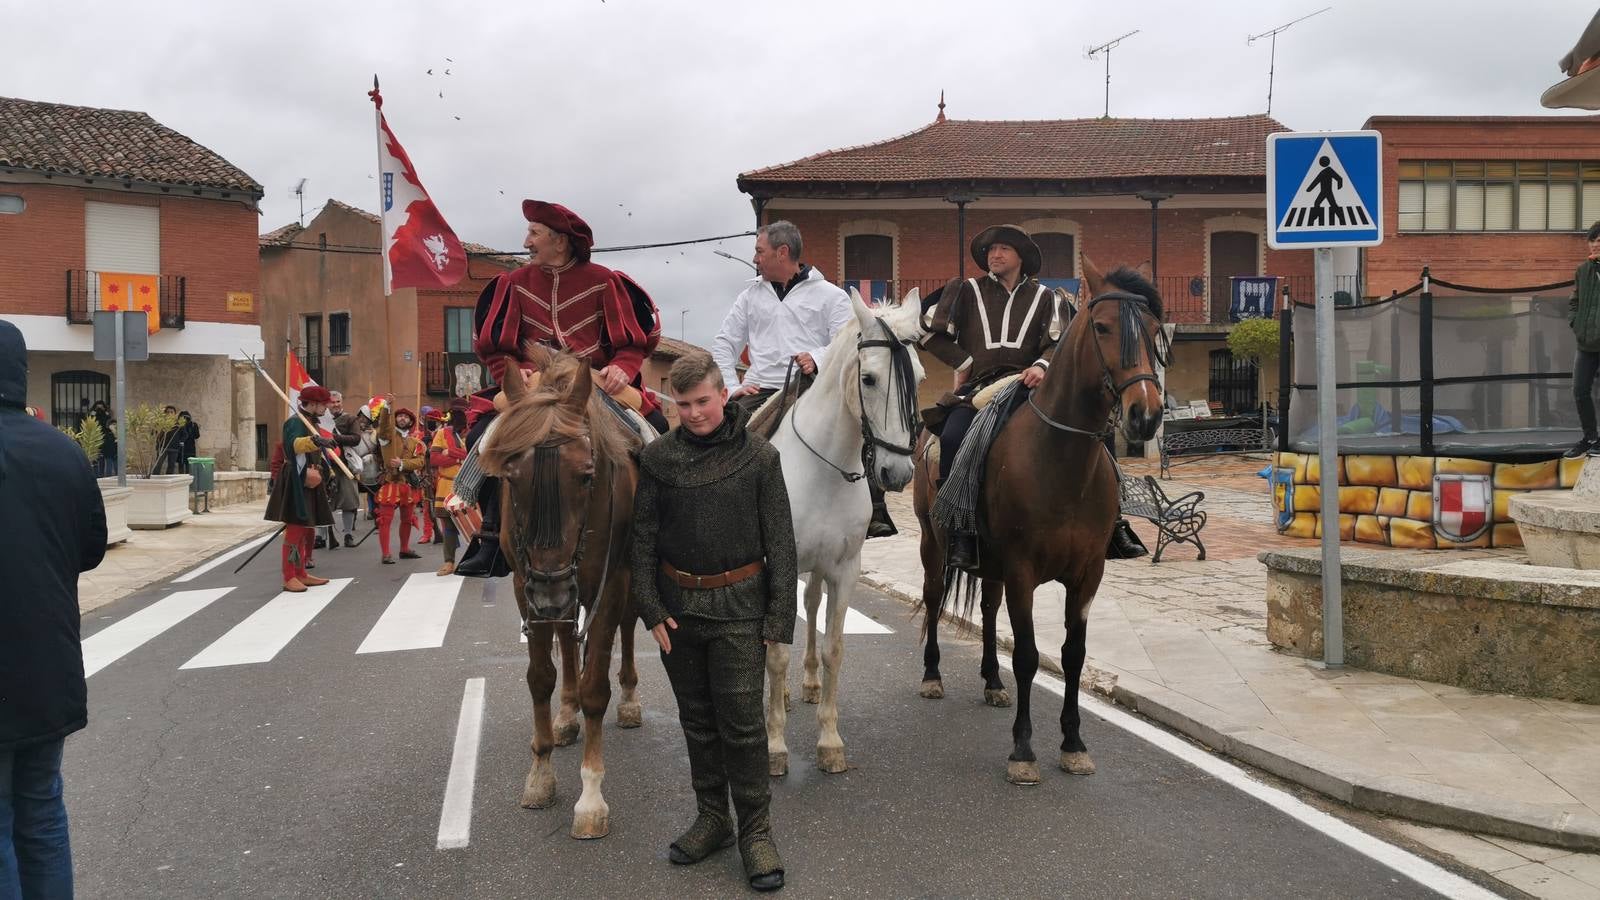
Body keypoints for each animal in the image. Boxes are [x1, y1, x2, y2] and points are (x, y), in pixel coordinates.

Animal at [473, 349, 643, 832]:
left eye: (586, 476)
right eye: (511, 477)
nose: (551, 592)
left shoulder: (611, 581)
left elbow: (596, 687)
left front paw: (590, 797)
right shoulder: (523, 586)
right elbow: (540, 678)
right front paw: (541, 773)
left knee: (623, 628)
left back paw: (629, 700)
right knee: (567, 639)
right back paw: (566, 716)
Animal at [764, 288, 928, 771]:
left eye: (919, 377)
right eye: (869, 379)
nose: (897, 473)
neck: (823, 466)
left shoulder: (844, 568)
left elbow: (834, 648)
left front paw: (830, 741)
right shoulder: (777, 568)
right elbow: (776, 651)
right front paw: (774, 745)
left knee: (811, 604)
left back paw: (806, 684)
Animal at [915, 256, 1164, 781]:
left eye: (1154, 329)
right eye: (1102, 326)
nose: (1145, 415)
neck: (1060, 457)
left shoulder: (1088, 574)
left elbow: (1073, 656)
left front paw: (1073, 742)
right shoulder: (1022, 570)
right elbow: (1028, 656)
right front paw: (1023, 749)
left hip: (989, 565)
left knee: (988, 609)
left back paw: (992, 681)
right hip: (933, 543)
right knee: (932, 596)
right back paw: (932, 674)